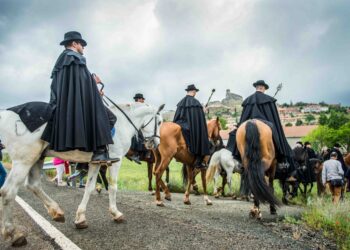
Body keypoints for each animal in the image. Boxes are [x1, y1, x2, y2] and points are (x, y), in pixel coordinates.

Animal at [0, 101, 164, 246]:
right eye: (160, 122)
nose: (156, 144)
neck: (123, 122)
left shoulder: (96, 162)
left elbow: (89, 188)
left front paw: (80, 218)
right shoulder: (115, 160)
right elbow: (113, 187)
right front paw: (116, 213)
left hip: (37, 157)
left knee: (33, 185)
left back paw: (56, 212)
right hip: (24, 160)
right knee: (8, 192)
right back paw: (13, 233)